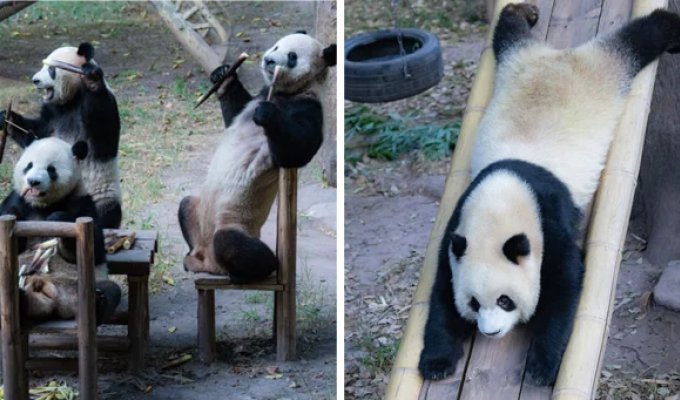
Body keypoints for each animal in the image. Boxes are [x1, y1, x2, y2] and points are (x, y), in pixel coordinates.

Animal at [0, 137, 121, 322]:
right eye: (29, 165)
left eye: (51, 169)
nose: (33, 181)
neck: (44, 205)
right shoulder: (20, 201)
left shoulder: (81, 203)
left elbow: (93, 247)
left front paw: (57, 218)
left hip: (84, 283)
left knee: (111, 290)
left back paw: (99, 301)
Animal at [178, 32, 338, 282]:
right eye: (277, 46)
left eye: (292, 57)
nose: (269, 60)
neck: (283, 92)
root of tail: (212, 264)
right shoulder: (259, 95)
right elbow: (236, 111)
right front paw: (223, 75)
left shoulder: (307, 105)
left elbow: (296, 151)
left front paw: (266, 114)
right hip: (198, 213)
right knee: (185, 206)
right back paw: (191, 259)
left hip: (236, 223)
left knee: (232, 244)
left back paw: (261, 269)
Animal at [418, 2, 680, 384]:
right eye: (474, 303)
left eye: (505, 300)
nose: (490, 332)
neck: (501, 197)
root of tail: (559, 56)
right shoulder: (458, 226)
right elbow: (441, 291)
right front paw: (437, 362)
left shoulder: (548, 216)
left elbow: (564, 283)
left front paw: (543, 365)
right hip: (514, 60)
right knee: (507, 34)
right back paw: (522, 13)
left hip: (605, 68)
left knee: (639, 39)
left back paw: (669, 29)